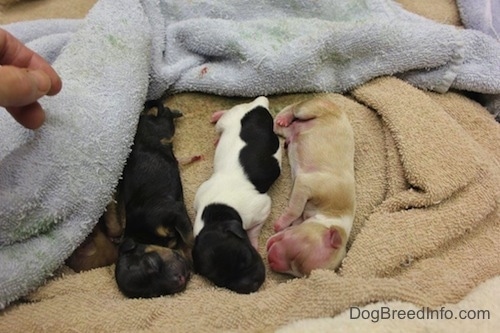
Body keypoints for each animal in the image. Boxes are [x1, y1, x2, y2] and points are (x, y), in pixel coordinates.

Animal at [114, 100, 194, 296]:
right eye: (156, 294)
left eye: (152, 263)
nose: (181, 280)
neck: (143, 237)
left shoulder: (174, 211)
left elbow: (189, 238)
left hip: (161, 130)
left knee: (163, 113)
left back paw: (171, 111)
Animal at [193, 96, 284, 294]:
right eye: (220, 281)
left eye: (246, 256)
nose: (254, 285)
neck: (216, 213)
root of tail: (258, 105)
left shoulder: (262, 208)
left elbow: (255, 229)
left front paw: (254, 239)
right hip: (229, 118)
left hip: (232, 117)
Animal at [266, 95, 356, 278]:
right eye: (297, 255)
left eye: (295, 273)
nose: (271, 261)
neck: (331, 218)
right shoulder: (306, 184)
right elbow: (295, 209)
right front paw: (280, 223)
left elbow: (296, 215)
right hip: (312, 109)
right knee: (296, 107)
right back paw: (284, 117)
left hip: (289, 130)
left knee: (279, 128)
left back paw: (283, 126)